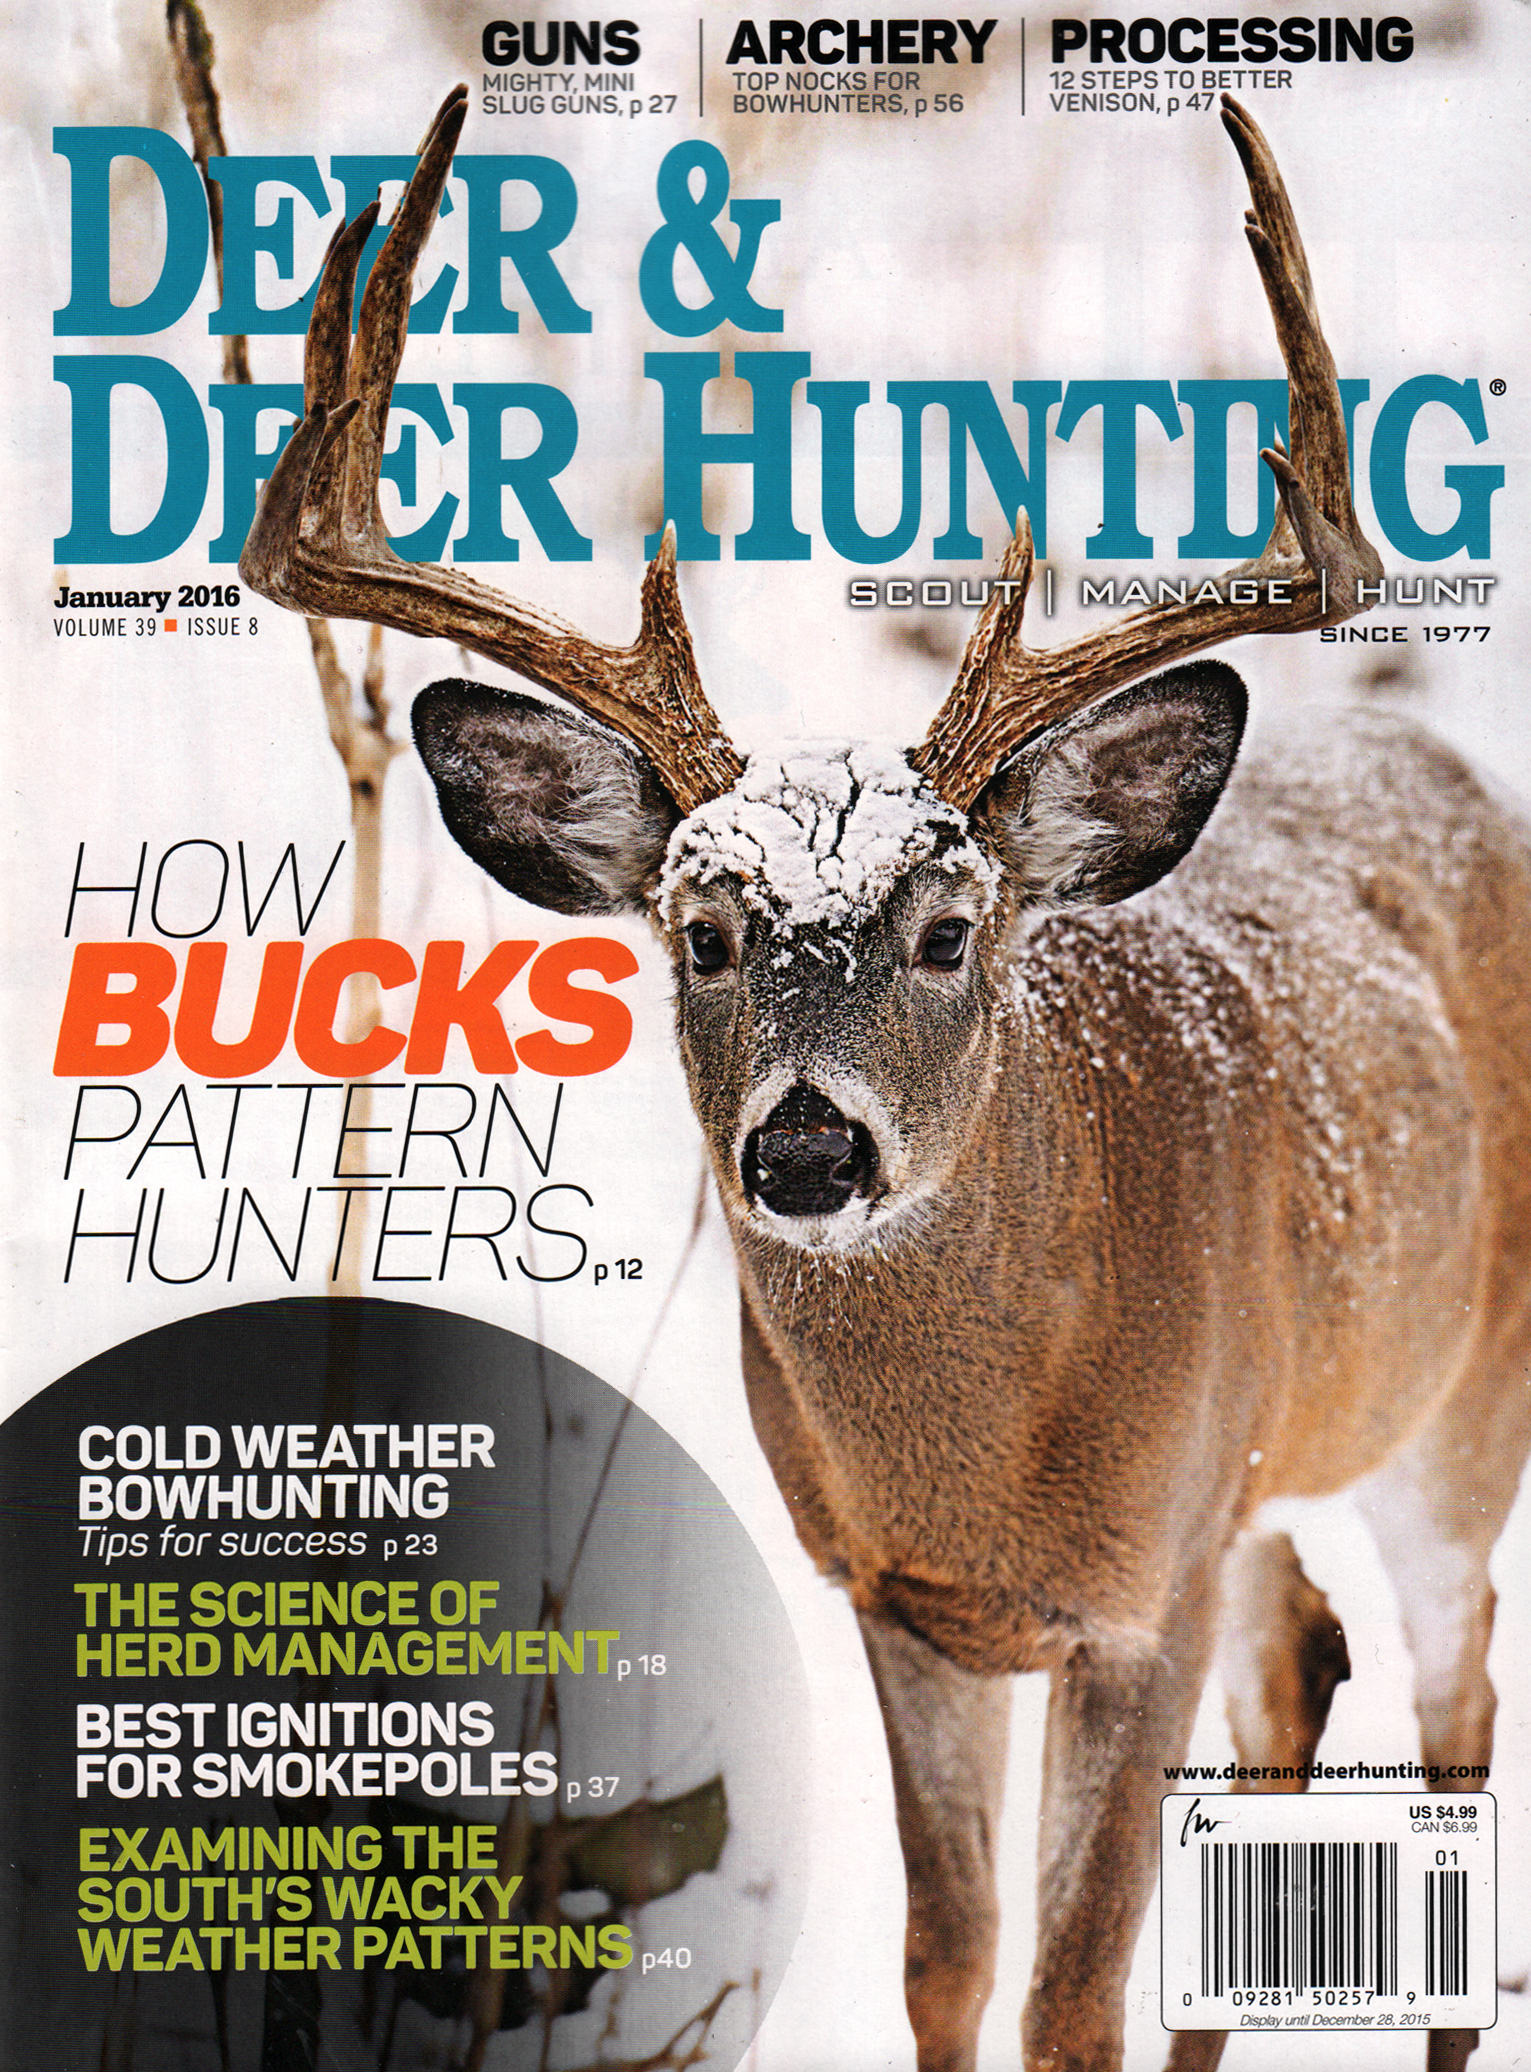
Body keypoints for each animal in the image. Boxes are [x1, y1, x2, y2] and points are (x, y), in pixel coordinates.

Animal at [241, 84, 1531, 2072]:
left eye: (944, 927)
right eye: (700, 931)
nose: (805, 1151)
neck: (984, 1463)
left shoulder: (1134, 1596)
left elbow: (1067, 1994)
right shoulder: (901, 1596)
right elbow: (949, 1952)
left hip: (1459, 1407)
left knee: (1454, 1712)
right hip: (1265, 1478)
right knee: (1296, 1676)